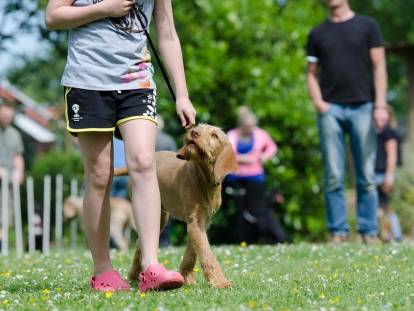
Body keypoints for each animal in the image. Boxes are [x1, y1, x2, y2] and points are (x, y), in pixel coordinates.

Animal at [115, 123, 238, 288]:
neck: (204, 179)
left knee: (139, 243)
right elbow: (206, 253)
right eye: (199, 127)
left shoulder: (201, 222)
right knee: (140, 242)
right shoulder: (195, 222)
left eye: (214, 135)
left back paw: (135, 275)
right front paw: (220, 281)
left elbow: (192, 252)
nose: (194, 132)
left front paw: (186, 277)